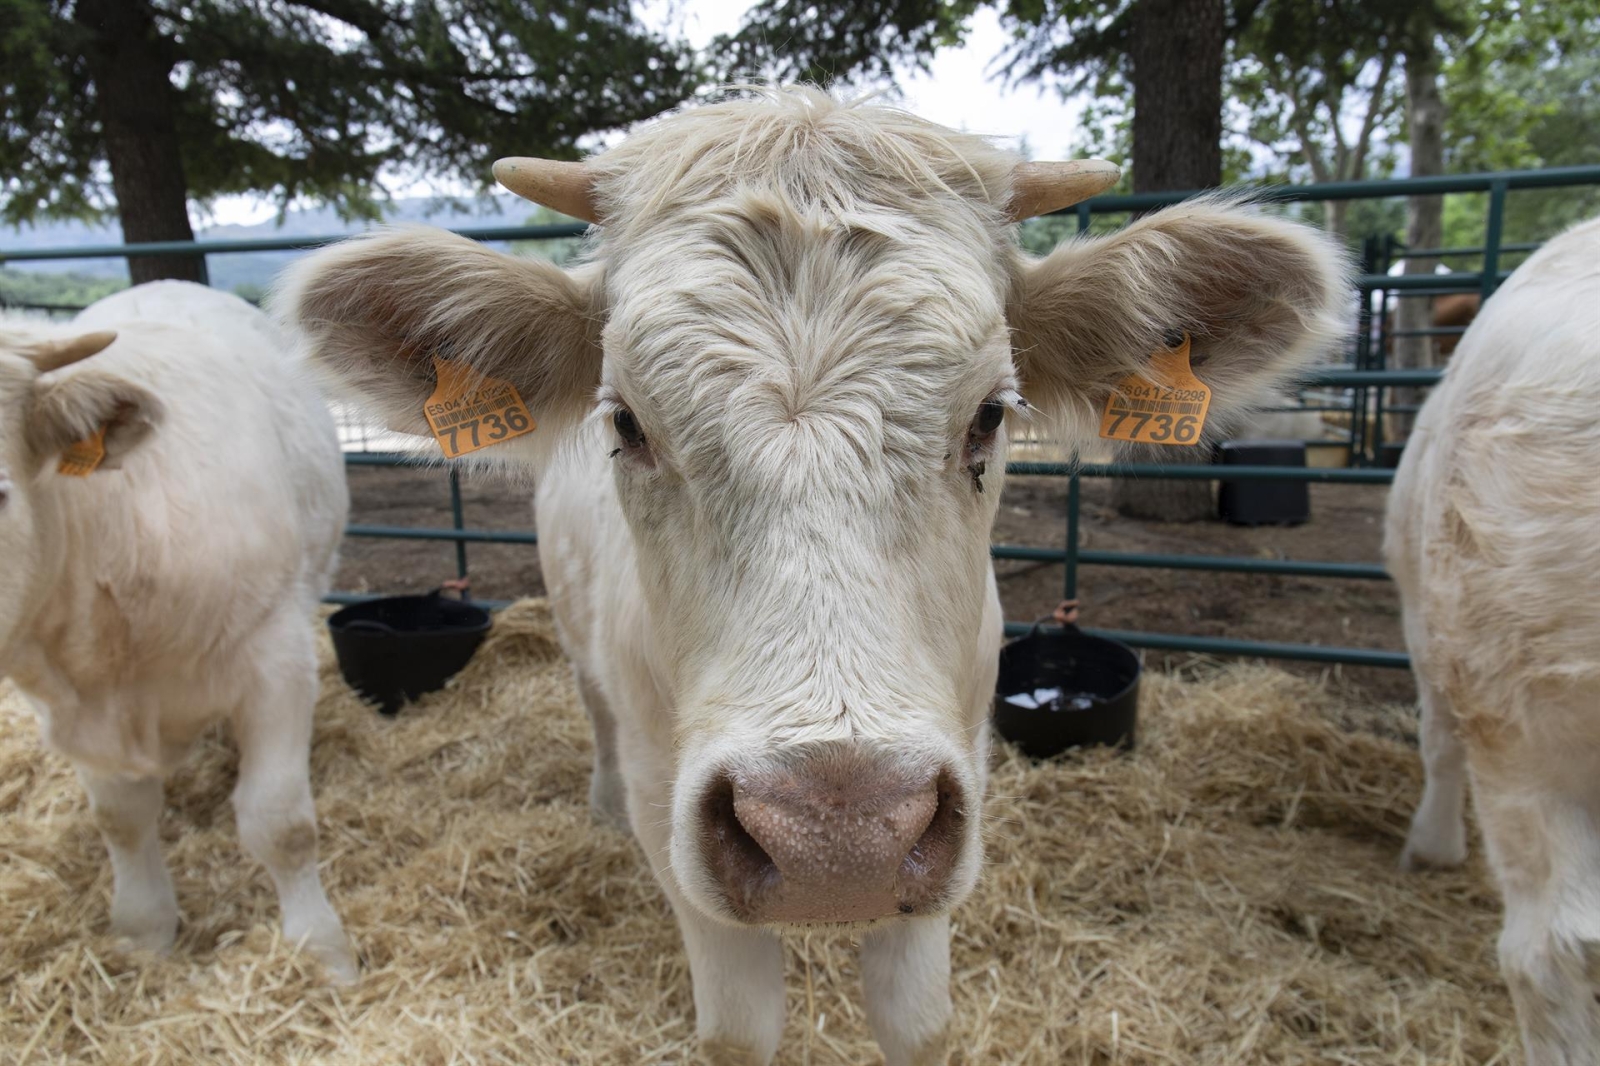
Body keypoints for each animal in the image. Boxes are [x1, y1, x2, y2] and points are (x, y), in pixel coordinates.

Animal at [0, 282, 354, 981]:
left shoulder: (276, 659)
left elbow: (280, 820)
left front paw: (321, 951)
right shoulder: (70, 711)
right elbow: (121, 819)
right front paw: (143, 932)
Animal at [280, 89, 1346, 1063]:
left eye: (991, 416)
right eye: (624, 422)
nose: (837, 839)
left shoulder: (953, 792)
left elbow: (918, 1024)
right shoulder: (675, 812)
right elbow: (738, 1030)